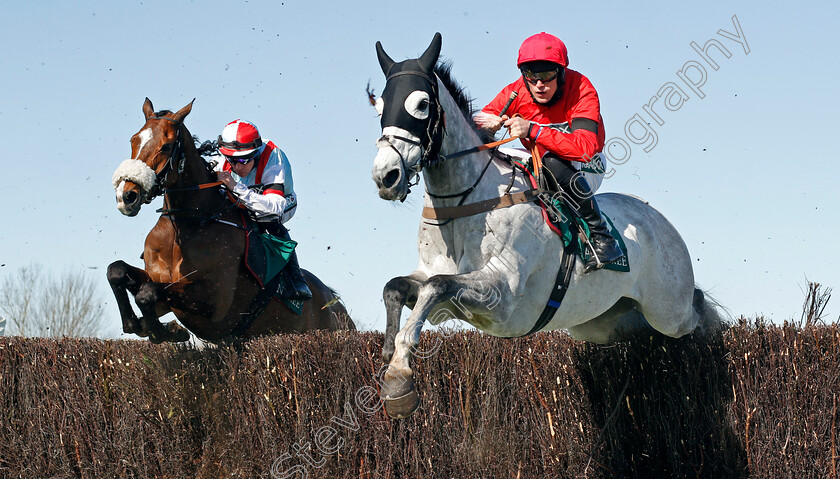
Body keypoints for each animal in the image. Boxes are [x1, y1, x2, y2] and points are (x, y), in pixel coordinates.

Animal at [107, 98, 352, 344]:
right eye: (134, 140)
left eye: (166, 146)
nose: (126, 196)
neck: (189, 224)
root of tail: (338, 308)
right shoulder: (158, 281)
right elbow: (116, 271)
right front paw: (140, 324)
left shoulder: (215, 302)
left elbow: (147, 293)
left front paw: (165, 331)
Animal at [372, 33, 720, 418]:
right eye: (379, 106)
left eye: (421, 104)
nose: (385, 176)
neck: (466, 203)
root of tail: (659, 220)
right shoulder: (429, 274)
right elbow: (396, 287)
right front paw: (390, 361)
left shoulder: (501, 296)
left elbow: (436, 287)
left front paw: (400, 376)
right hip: (601, 323)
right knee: (640, 332)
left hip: (669, 309)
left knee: (697, 311)